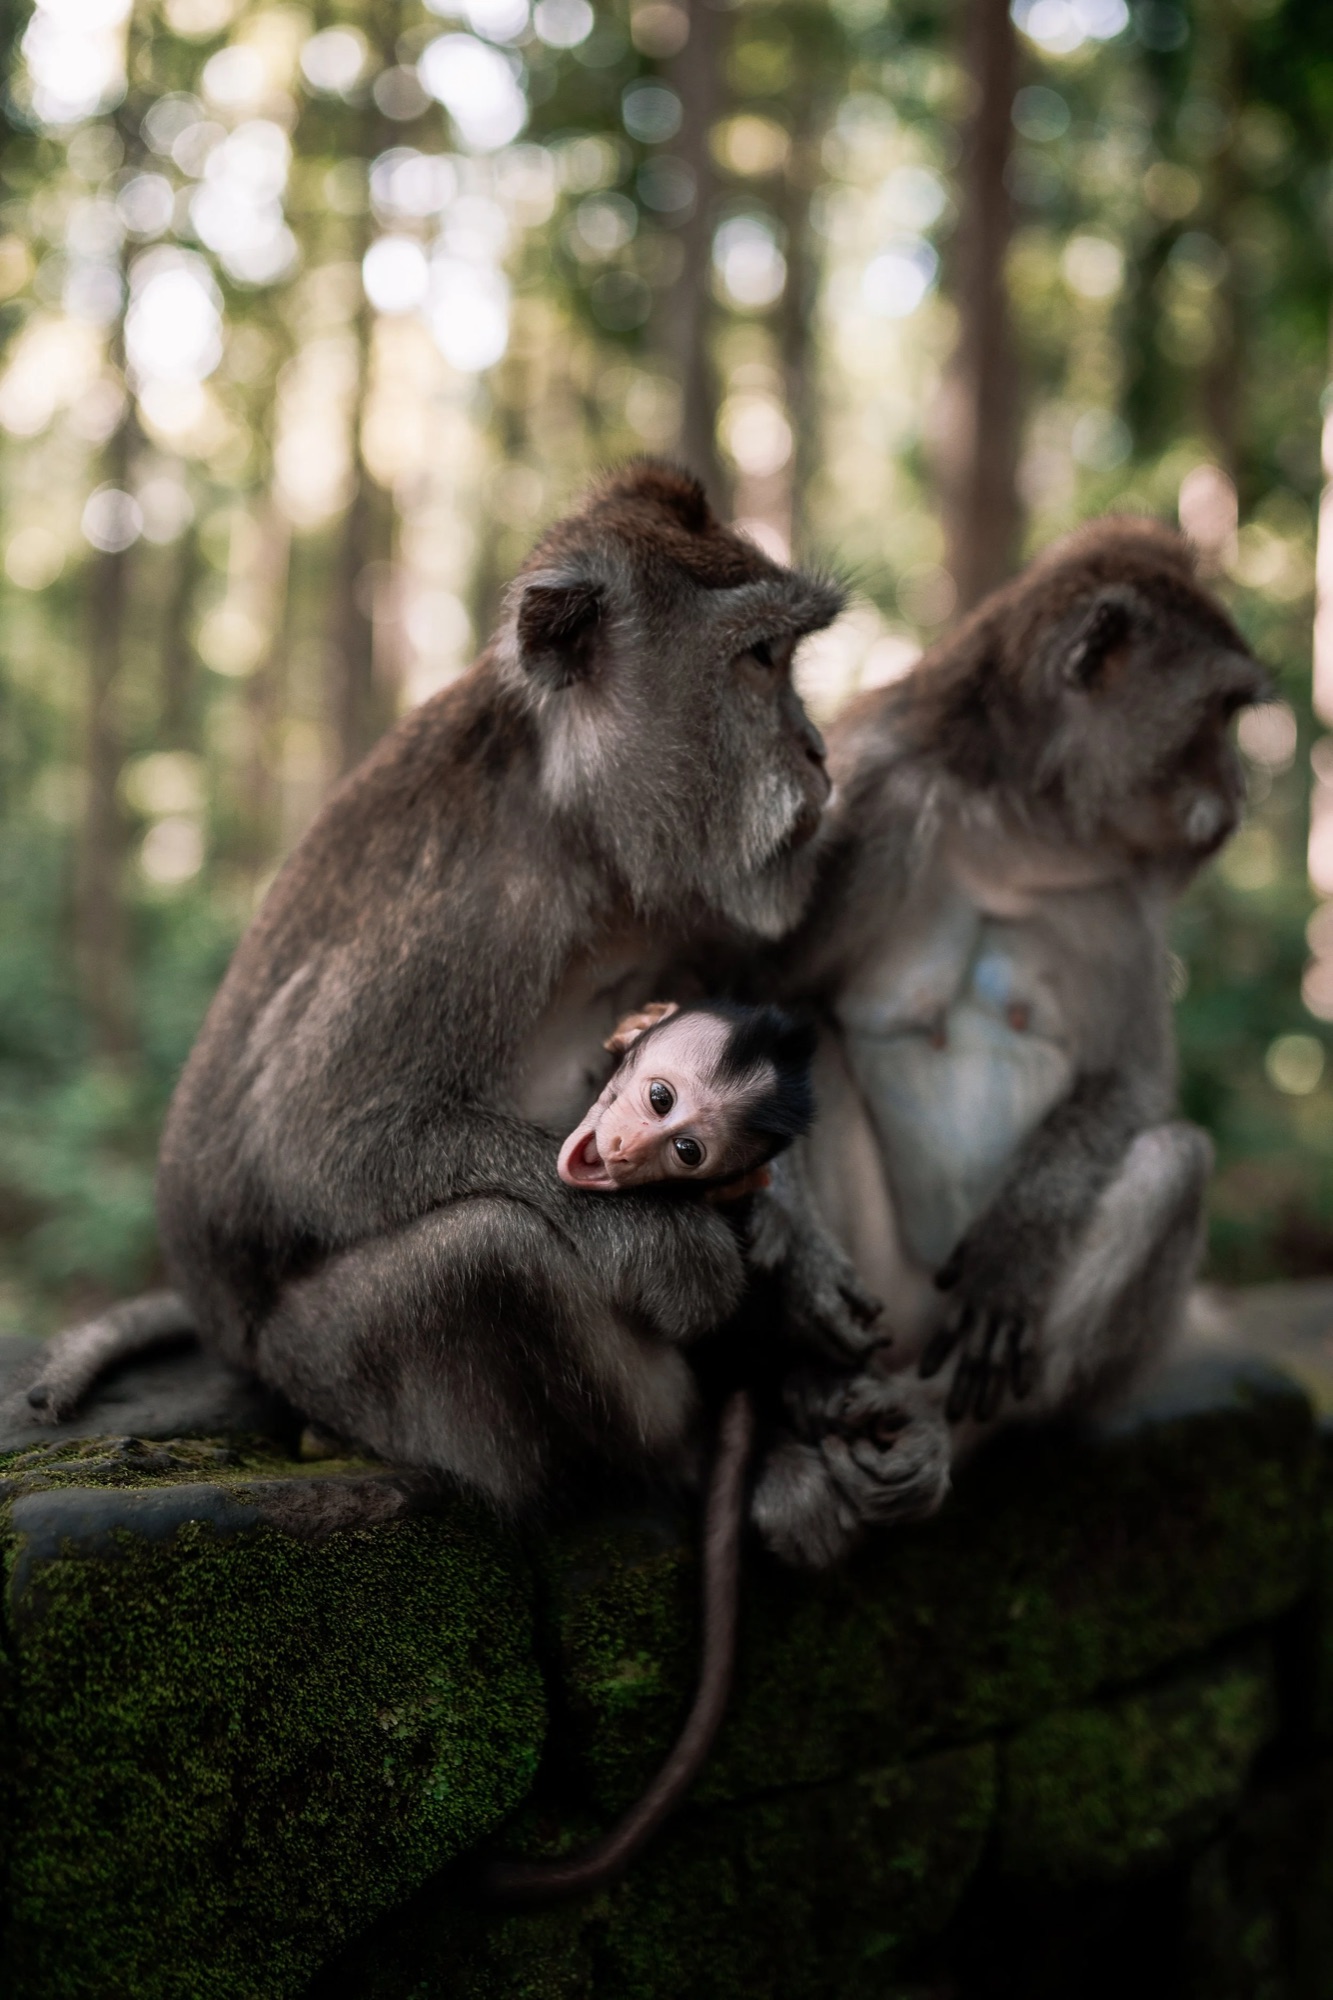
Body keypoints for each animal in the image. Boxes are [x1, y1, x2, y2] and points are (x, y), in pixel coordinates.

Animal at [750, 516, 1269, 1570]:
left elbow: (1131, 1081)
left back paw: (931, 1435)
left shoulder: (1121, 894)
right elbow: (759, 998)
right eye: (1220, 714)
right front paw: (795, 1252)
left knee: (1172, 1163)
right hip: (884, 1304)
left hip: (934, 1335)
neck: (1015, 817)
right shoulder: (867, 799)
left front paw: (1021, 1239)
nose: (1240, 787)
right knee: (814, 1050)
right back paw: (811, 1405)